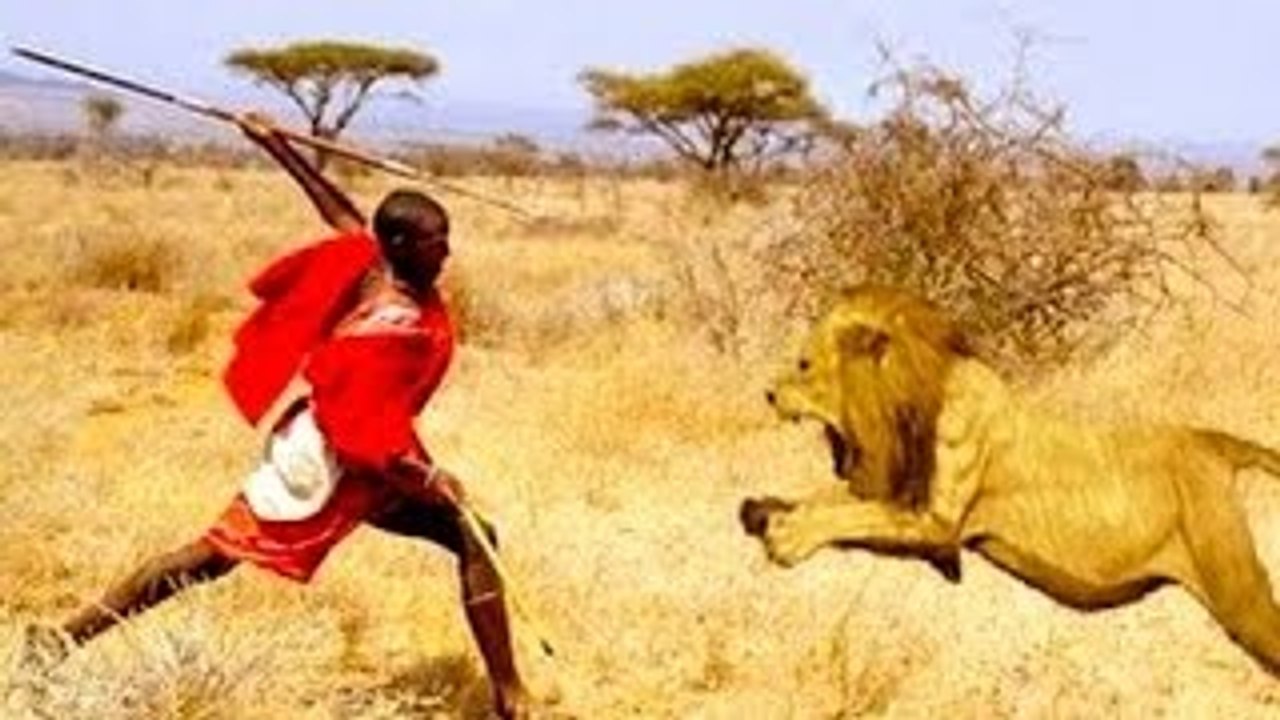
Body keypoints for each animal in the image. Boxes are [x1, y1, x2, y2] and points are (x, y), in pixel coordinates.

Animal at [740, 284, 1280, 674]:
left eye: (804, 363)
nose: (766, 393)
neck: (907, 402)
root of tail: (1214, 442)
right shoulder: (904, 499)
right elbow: (833, 500)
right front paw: (763, 512)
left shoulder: (938, 523)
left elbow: (853, 514)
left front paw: (787, 537)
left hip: (1235, 591)